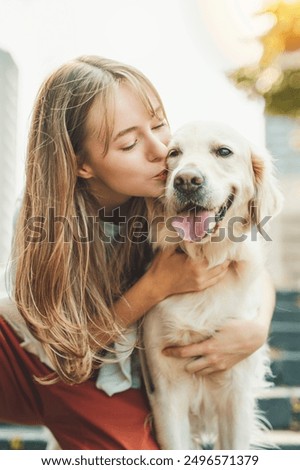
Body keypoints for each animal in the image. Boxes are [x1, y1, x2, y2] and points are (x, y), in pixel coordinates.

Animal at [142, 120, 282, 448]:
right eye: (173, 154)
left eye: (224, 152)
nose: (187, 181)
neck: (206, 259)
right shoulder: (166, 394)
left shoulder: (237, 394)